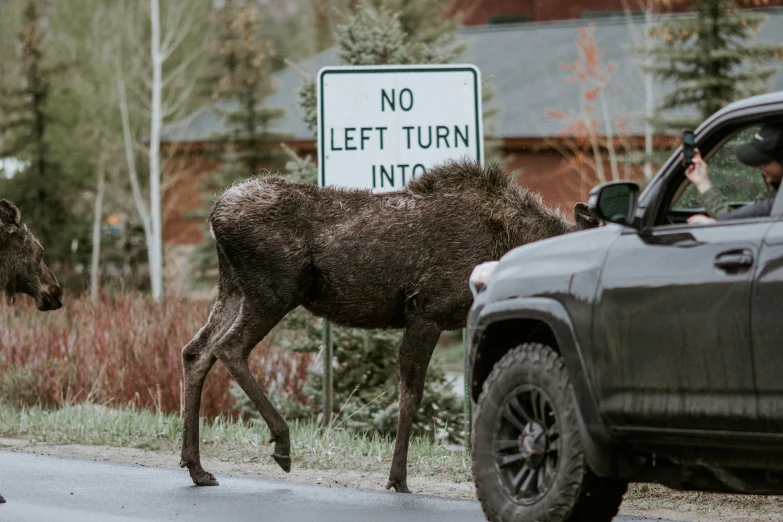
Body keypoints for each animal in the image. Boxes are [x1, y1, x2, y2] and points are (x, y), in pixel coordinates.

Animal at [181, 159, 596, 492]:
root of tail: (215, 215)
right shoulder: (427, 312)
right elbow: (410, 395)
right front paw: (398, 478)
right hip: (272, 291)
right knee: (229, 348)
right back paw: (281, 444)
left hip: (234, 288)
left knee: (196, 351)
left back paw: (197, 467)